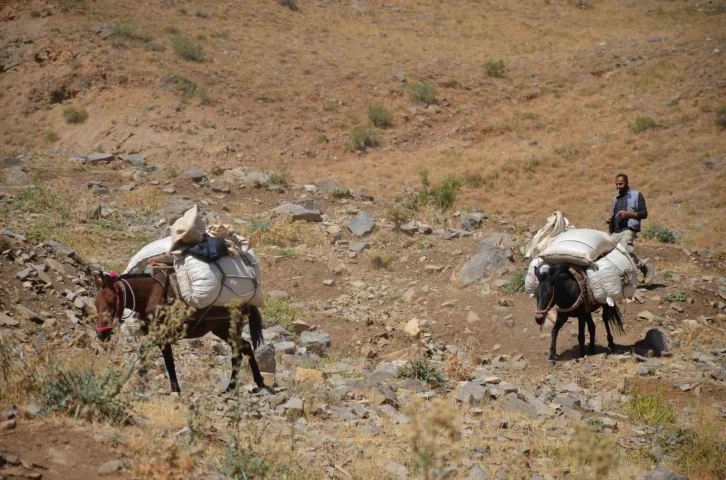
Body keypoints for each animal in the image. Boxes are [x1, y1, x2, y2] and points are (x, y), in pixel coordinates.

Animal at [92, 270, 272, 394]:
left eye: (111, 301)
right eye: (95, 303)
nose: (102, 334)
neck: (152, 297)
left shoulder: (160, 336)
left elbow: (150, 355)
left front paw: (144, 383)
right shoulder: (160, 338)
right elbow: (165, 361)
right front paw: (171, 388)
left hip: (228, 329)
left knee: (242, 350)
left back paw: (249, 385)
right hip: (223, 331)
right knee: (242, 350)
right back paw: (240, 386)